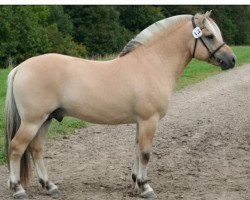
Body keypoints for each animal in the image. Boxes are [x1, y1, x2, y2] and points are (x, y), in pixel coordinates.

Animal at [5, 11, 236, 199]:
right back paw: (18, 189)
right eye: (209, 36)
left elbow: (137, 150)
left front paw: (135, 183)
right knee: (16, 148)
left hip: (46, 119)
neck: (153, 64)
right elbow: (145, 153)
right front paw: (146, 187)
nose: (232, 60)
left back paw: (50, 186)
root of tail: (20, 67)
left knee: (36, 149)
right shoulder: (149, 120)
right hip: (33, 121)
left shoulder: (141, 122)